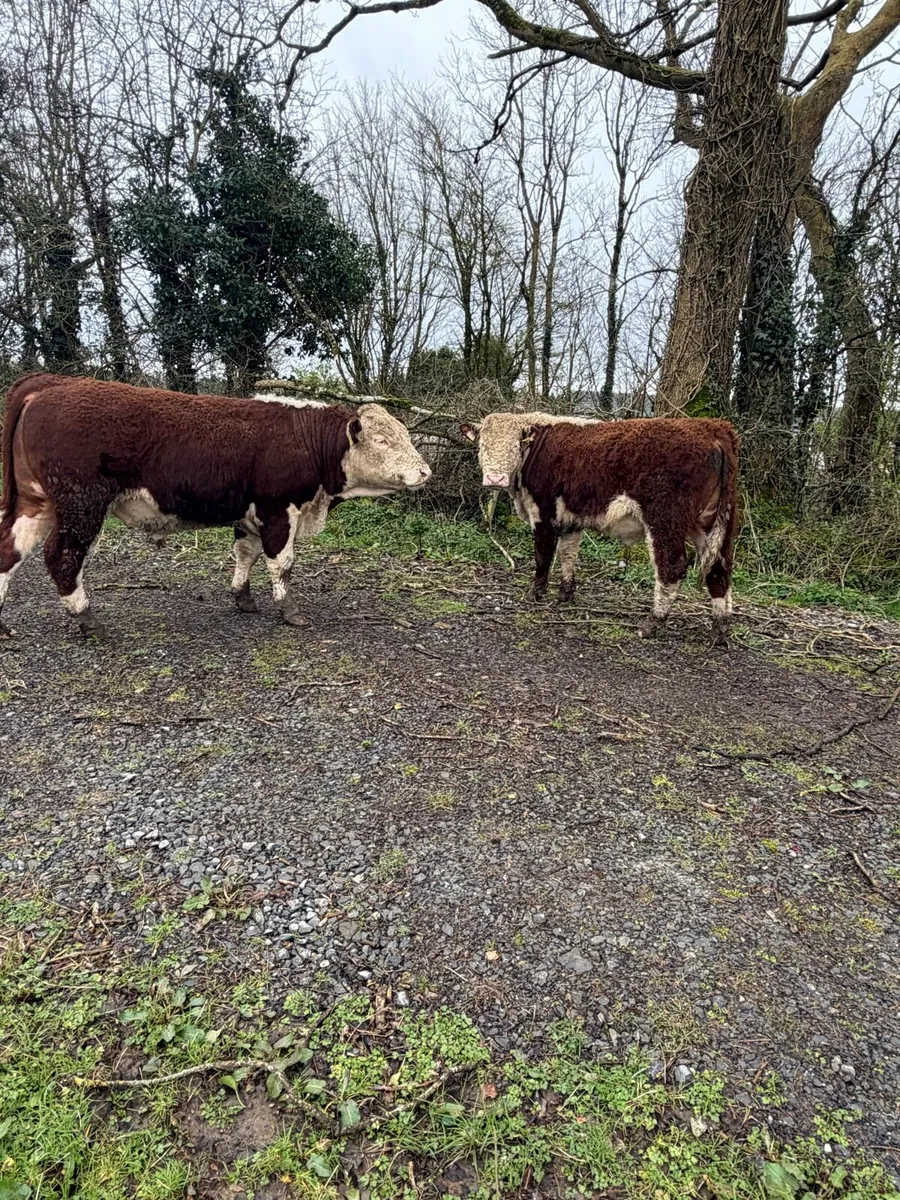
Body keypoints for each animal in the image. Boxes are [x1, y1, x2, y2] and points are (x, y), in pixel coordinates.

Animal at [0, 375, 431, 637]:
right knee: (63, 557)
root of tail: (53, 382)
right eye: (381, 441)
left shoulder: (250, 514)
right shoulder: (279, 510)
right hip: (81, 505)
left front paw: (243, 598)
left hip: (36, 503)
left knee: (9, 550)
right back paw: (86, 618)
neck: (304, 439)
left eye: (405, 435)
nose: (425, 471)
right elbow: (282, 564)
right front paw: (290, 612)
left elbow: (245, 554)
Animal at [464, 411, 739, 646]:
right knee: (719, 568)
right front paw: (565, 593)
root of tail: (713, 428)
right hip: (712, 522)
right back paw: (719, 632)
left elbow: (543, 555)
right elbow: (567, 554)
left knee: (672, 567)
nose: (495, 479)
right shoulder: (571, 518)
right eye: (482, 446)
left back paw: (651, 623)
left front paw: (535, 593)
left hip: (666, 518)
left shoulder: (543, 511)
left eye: (515, 446)